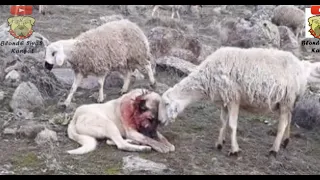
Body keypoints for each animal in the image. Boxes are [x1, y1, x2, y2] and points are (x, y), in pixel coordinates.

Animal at [158, 46, 320, 158]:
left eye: (166, 104)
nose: (159, 121)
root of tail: (302, 66)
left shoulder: (233, 99)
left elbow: (231, 125)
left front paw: (234, 150)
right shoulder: (224, 101)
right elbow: (223, 123)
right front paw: (219, 143)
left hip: (287, 99)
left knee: (283, 124)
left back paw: (274, 149)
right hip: (289, 100)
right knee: (290, 119)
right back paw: (285, 141)